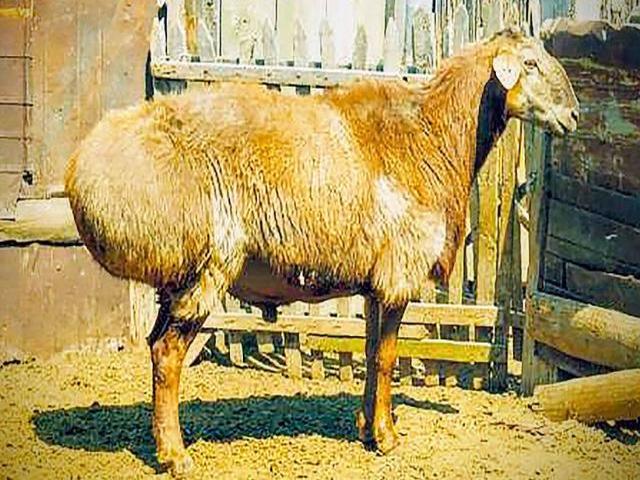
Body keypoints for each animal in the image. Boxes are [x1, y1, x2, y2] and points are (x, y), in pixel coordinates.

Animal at [64, 28, 579, 475]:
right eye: (530, 64)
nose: (574, 115)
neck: (432, 136)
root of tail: (81, 168)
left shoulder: (375, 285)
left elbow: (371, 354)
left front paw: (367, 429)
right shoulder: (398, 274)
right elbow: (388, 358)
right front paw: (388, 438)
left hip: (178, 279)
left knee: (155, 348)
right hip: (206, 267)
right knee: (168, 355)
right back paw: (176, 456)